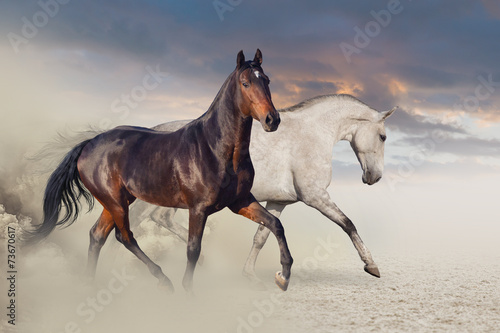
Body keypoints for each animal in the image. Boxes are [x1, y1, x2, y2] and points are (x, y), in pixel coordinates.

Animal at [30, 49, 292, 290]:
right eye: (245, 83)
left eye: (267, 80)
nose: (272, 120)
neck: (215, 149)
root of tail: (88, 145)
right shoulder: (199, 209)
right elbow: (193, 249)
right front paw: (187, 291)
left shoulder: (239, 202)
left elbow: (274, 224)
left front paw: (283, 276)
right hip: (116, 202)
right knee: (124, 236)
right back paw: (163, 280)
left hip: (117, 201)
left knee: (97, 235)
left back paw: (88, 284)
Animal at [133, 93, 394, 282]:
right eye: (383, 137)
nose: (374, 177)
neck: (311, 134)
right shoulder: (315, 196)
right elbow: (347, 223)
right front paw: (371, 265)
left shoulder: (279, 201)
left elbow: (262, 235)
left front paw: (249, 274)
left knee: (160, 218)